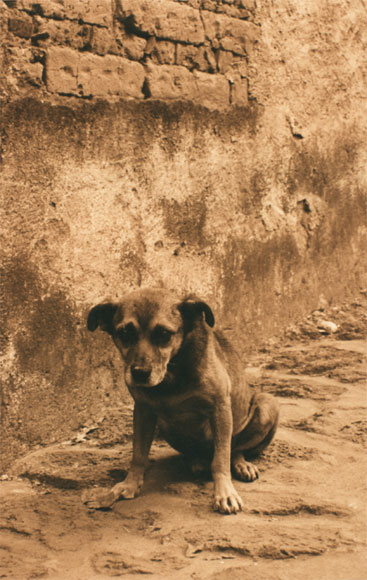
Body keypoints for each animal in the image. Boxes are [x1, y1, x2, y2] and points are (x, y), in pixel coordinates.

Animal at [85, 288, 278, 516]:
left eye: (164, 334)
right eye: (124, 333)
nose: (140, 373)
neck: (172, 374)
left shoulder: (220, 408)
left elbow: (221, 459)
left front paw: (224, 493)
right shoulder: (143, 410)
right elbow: (138, 453)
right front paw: (130, 484)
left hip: (267, 404)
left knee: (236, 448)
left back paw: (241, 464)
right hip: (166, 426)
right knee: (197, 452)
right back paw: (197, 461)